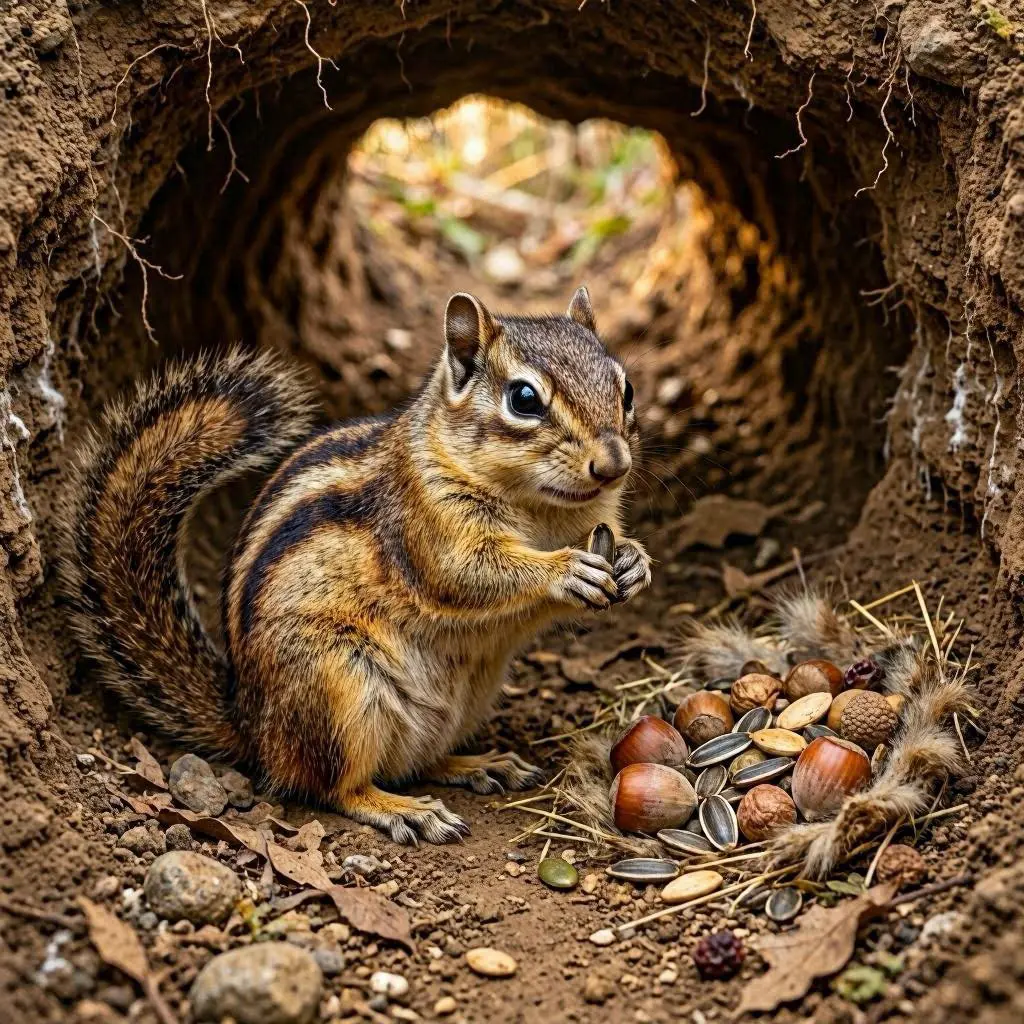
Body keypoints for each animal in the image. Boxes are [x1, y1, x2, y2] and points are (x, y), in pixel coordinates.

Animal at [61, 287, 652, 844]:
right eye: (524, 399)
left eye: (626, 389)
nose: (614, 464)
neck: (543, 509)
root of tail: (250, 723)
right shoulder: (425, 528)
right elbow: (467, 574)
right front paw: (565, 571)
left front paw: (634, 562)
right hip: (339, 685)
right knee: (331, 786)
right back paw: (404, 811)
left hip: (463, 698)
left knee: (415, 762)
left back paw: (479, 764)